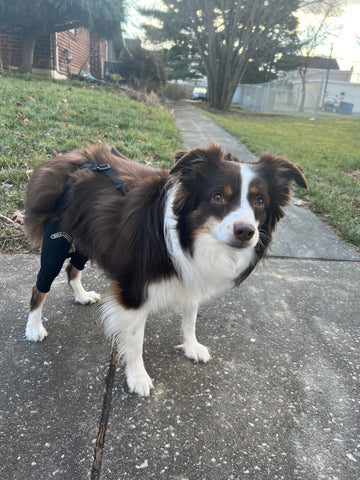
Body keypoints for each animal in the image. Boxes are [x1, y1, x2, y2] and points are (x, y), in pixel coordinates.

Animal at [25, 143, 306, 398]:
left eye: (259, 201)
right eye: (218, 197)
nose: (246, 232)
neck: (185, 235)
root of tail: (72, 157)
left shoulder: (190, 275)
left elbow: (190, 319)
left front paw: (192, 347)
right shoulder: (134, 290)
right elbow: (135, 339)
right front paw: (138, 377)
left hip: (89, 237)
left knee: (73, 268)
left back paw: (82, 296)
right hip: (56, 241)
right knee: (40, 286)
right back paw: (35, 328)